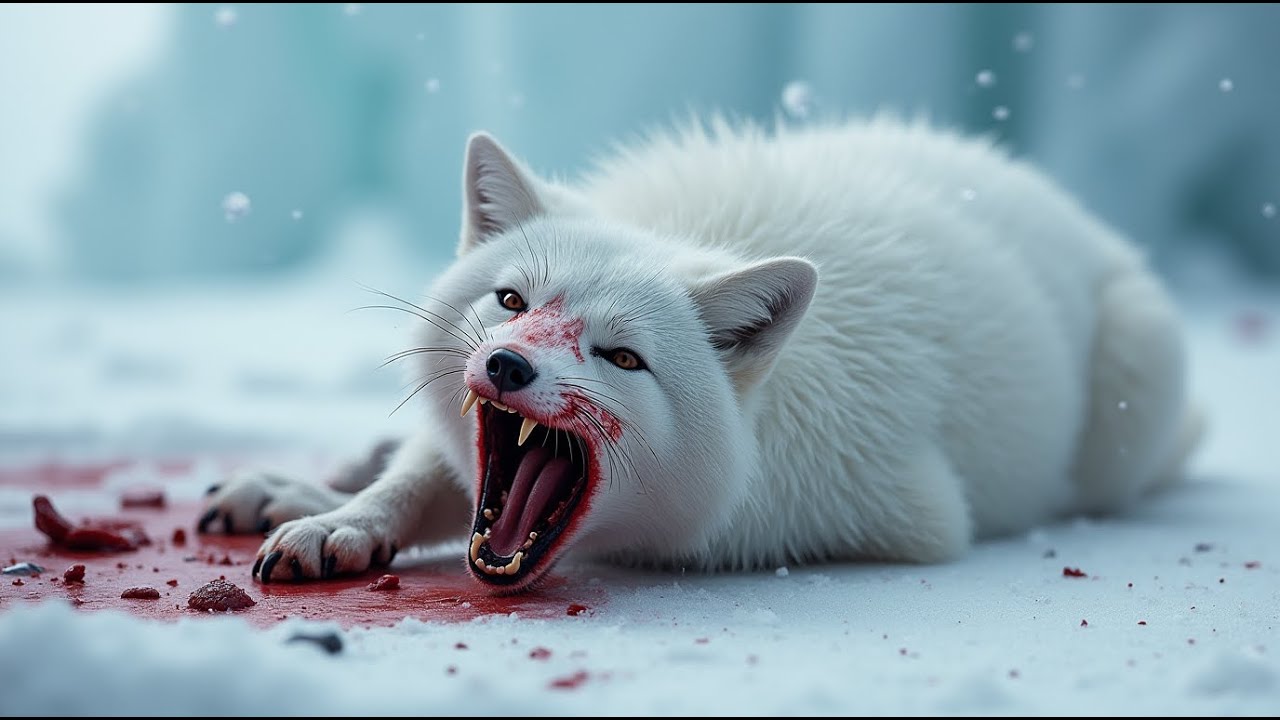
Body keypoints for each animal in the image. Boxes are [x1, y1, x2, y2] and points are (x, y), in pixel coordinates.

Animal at [200, 117, 1201, 593]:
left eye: (622, 358)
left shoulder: (913, 516)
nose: (511, 369)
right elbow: (421, 477)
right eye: (512, 302)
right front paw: (340, 521)